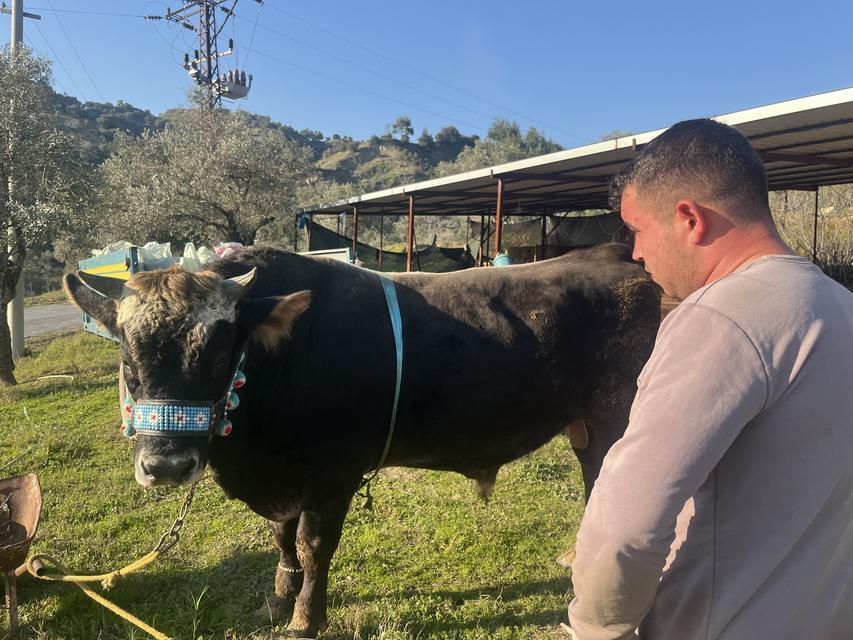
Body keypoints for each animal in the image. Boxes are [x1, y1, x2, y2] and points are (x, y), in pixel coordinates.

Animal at [65, 244, 660, 636]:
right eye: (126, 354)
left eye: (217, 351)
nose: (165, 466)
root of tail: (619, 258)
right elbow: (281, 537)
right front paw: (277, 599)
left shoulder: (334, 472)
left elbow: (313, 544)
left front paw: (306, 617)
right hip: (583, 427)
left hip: (618, 420)